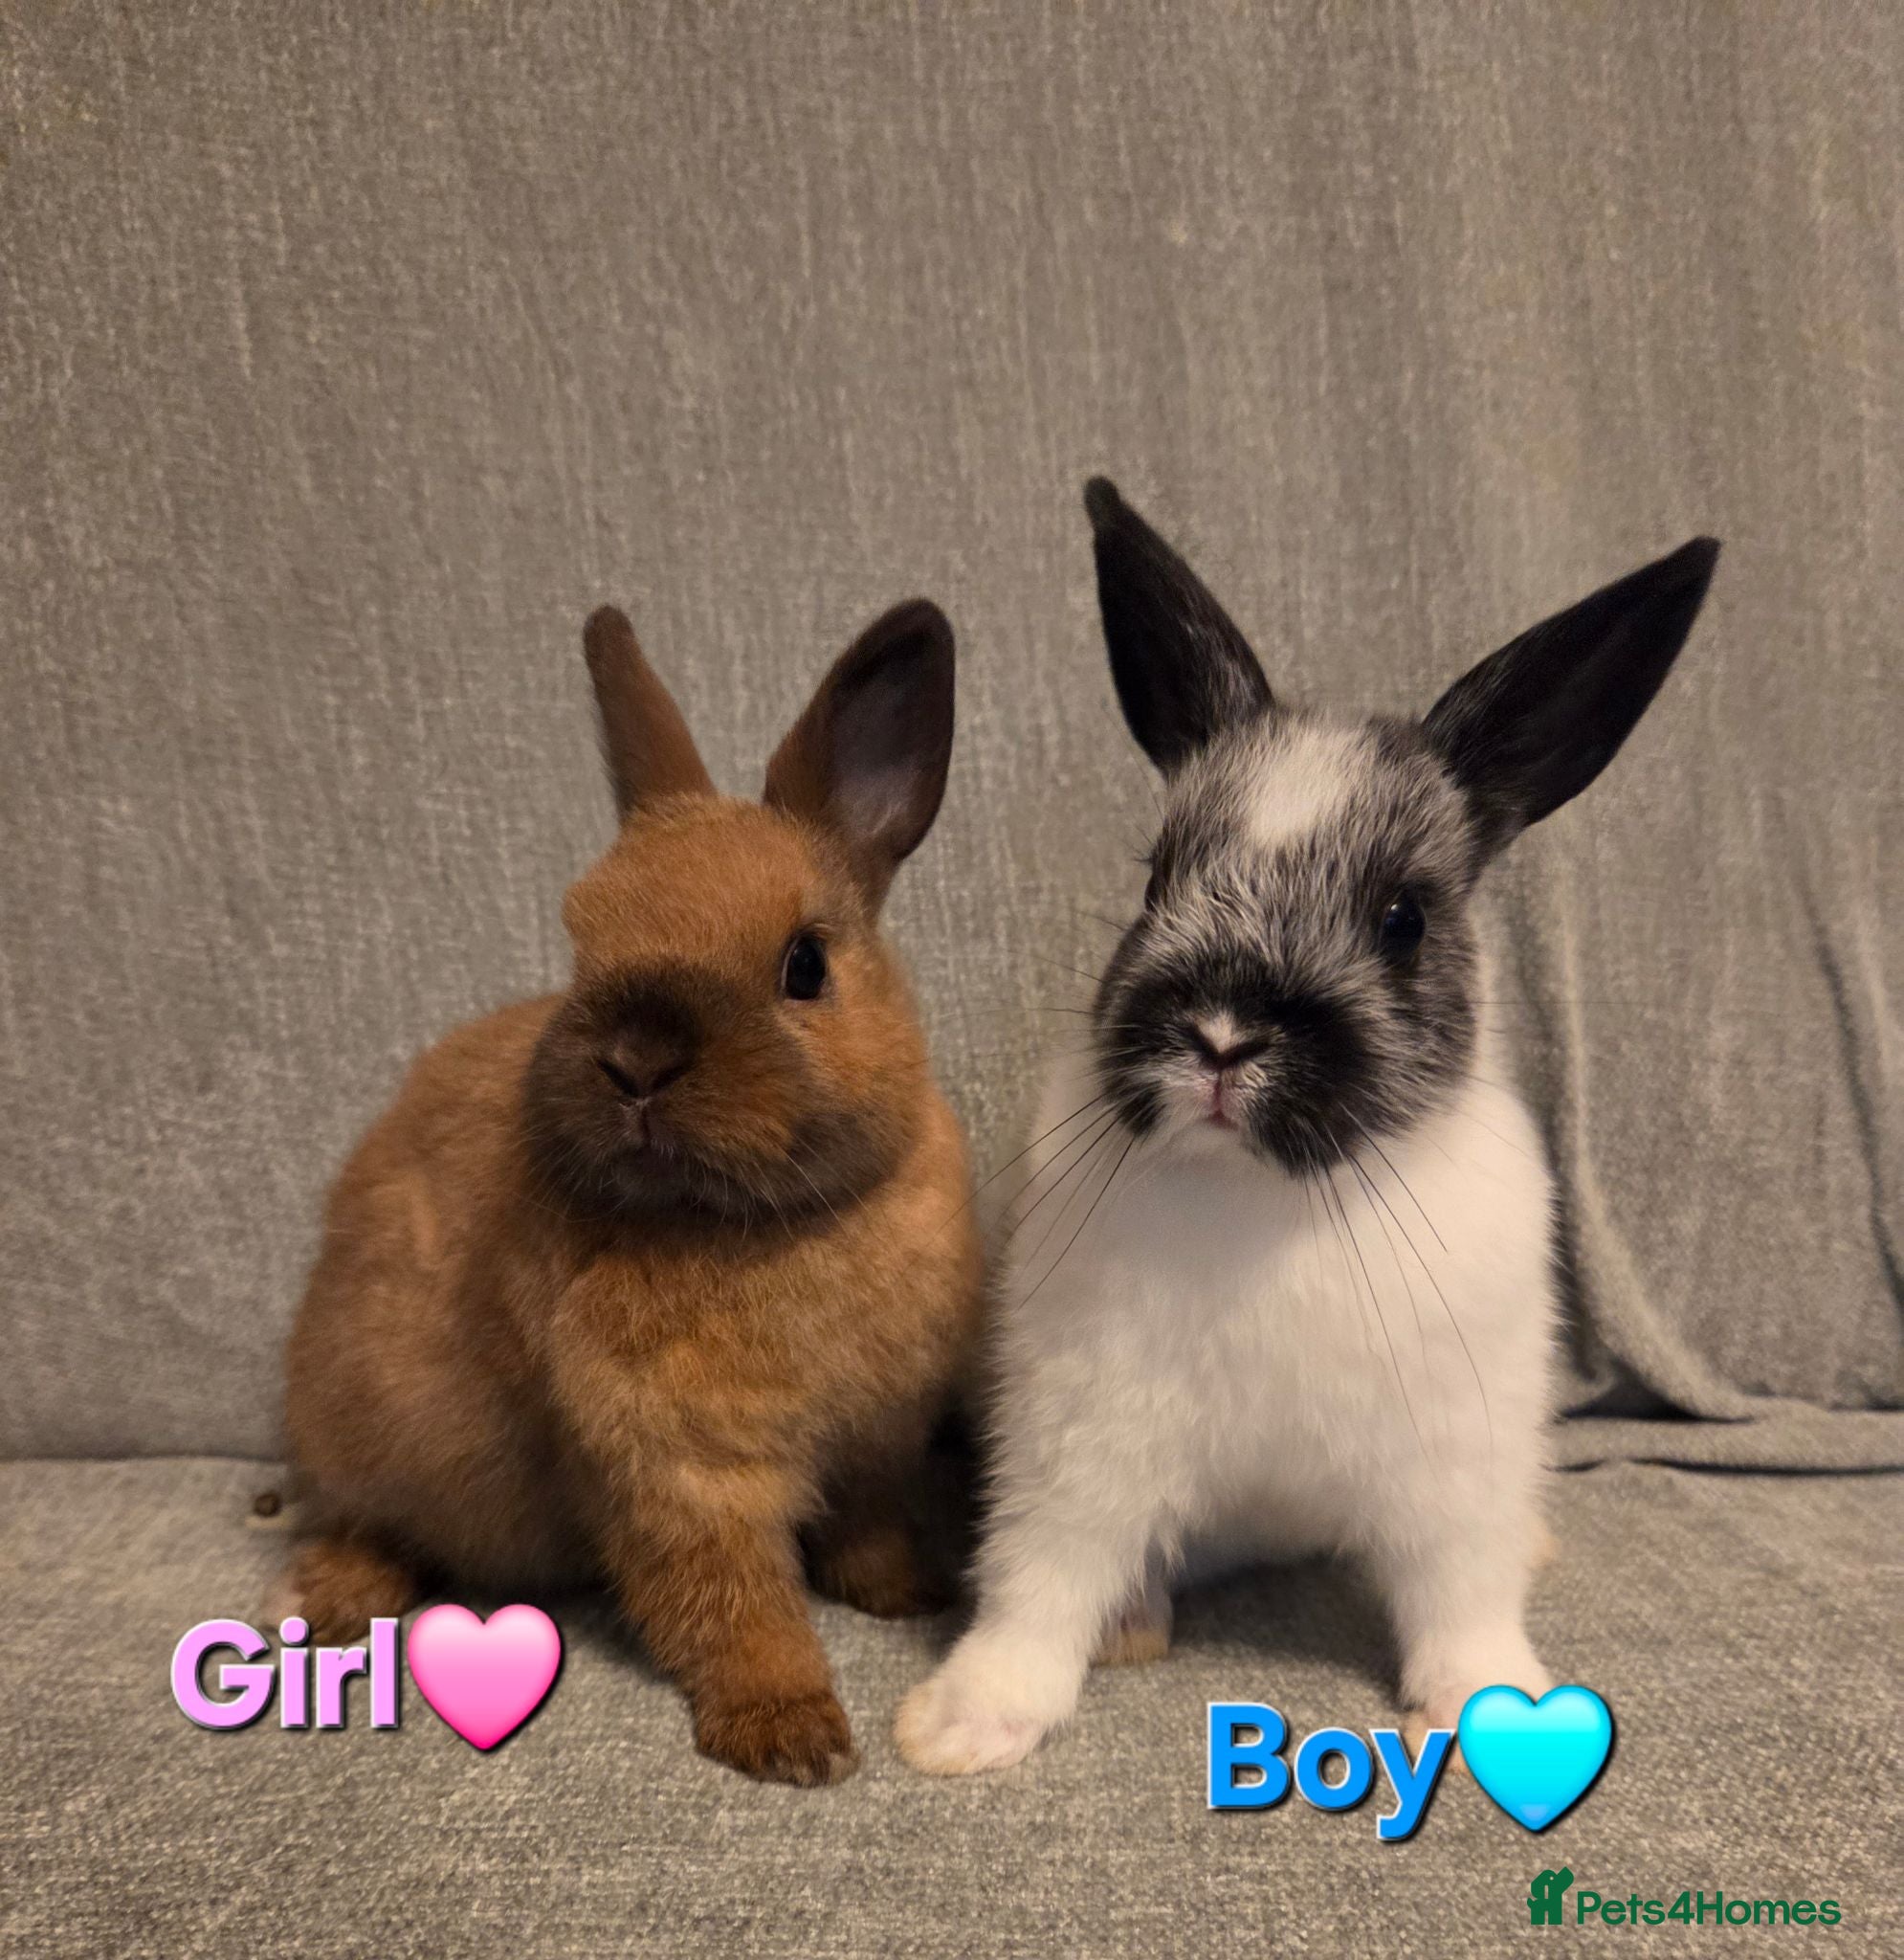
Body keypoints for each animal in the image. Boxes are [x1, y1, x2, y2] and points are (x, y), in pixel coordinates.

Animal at [269, 597, 984, 1785]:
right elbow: (734, 1608)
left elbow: (868, 1528)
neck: (767, 1222)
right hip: (370, 1424)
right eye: (583, 941)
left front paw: (903, 1593)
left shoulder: (873, 1444)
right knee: (362, 1521)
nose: (636, 1057)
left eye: (804, 964)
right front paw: (790, 1735)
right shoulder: (676, 1478)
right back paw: (332, 1605)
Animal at [896, 478, 1718, 1775]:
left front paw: (1486, 1699)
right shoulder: (1076, 1437)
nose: (1224, 1032)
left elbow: (1460, 1594)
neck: (1269, 1197)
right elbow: (1039, 1576)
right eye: (1156, 880)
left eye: (1403, 918)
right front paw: (964, 1720)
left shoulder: (1453, 1455)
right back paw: (1131, 1627)